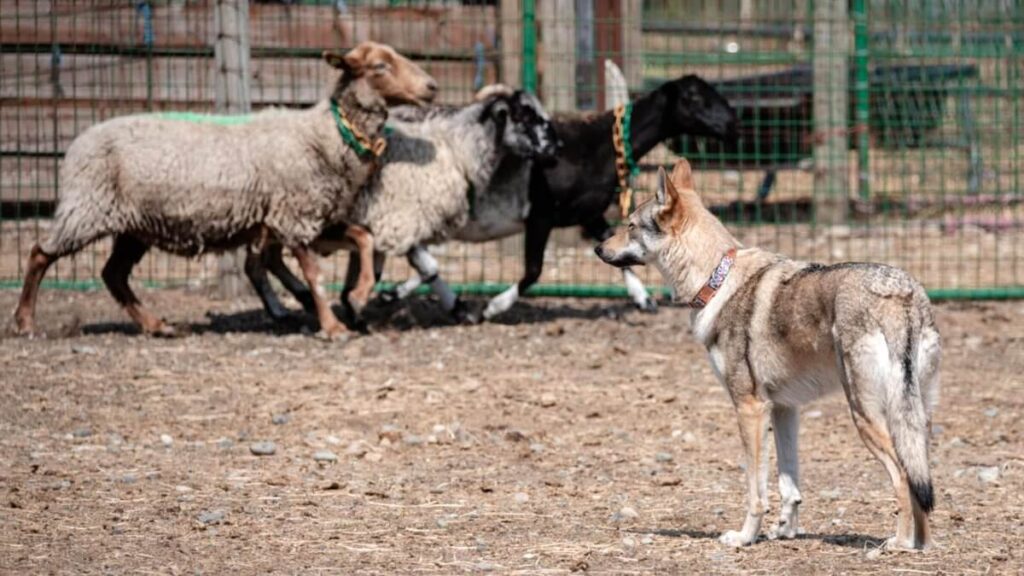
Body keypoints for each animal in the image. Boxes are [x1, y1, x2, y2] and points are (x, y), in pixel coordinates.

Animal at [12, 41, 437, 339]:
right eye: (380, 66)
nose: (432, 87)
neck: (328, 134)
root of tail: (76, 145)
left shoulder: (314, 215)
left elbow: (364, 237)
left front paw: (360, 294)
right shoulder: (295, 214)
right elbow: (315, 275)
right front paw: (332, 327)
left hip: (133, 224)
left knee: (112, 274)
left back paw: (156, 326)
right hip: (87, 208)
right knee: (40, 254)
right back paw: (25, 323)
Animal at [242, 88, 559, 324]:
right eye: (524, 116)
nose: (557, 148)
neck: (455, 147)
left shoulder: (386, 225)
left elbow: (374, 270)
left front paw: (356, 304)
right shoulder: (403, 220)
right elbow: (429, 268)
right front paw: (455, 307)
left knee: (264, 262)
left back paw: (295, 302)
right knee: (258, 265)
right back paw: (285, 306)